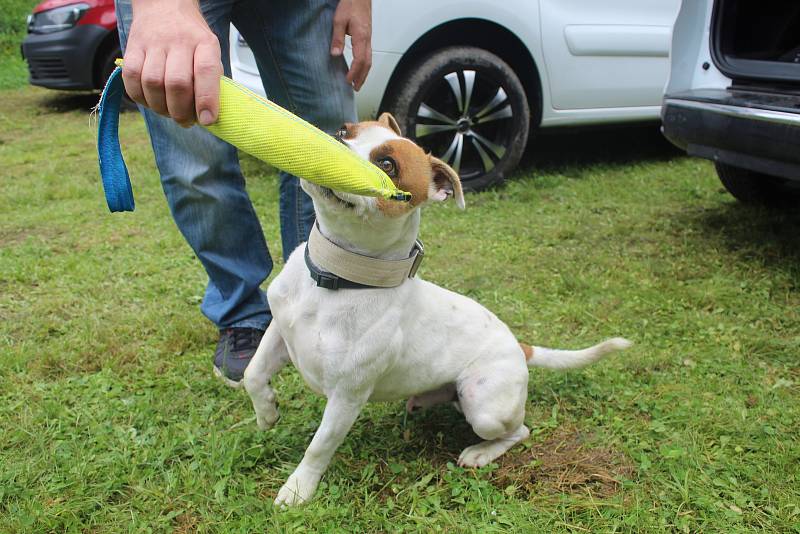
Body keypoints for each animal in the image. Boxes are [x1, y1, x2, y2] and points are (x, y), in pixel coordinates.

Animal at [242, 113, 632, 506]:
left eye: (388, 165)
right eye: (343, 131)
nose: (330, 143)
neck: (337, 278)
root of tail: (519, 346)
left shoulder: (347, 397)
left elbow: (319, 447)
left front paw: (298, 488)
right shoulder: (279, 331)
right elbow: (252, 373)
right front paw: (266, 413)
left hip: (484, 406)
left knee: (518, 431)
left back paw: (480, 452)